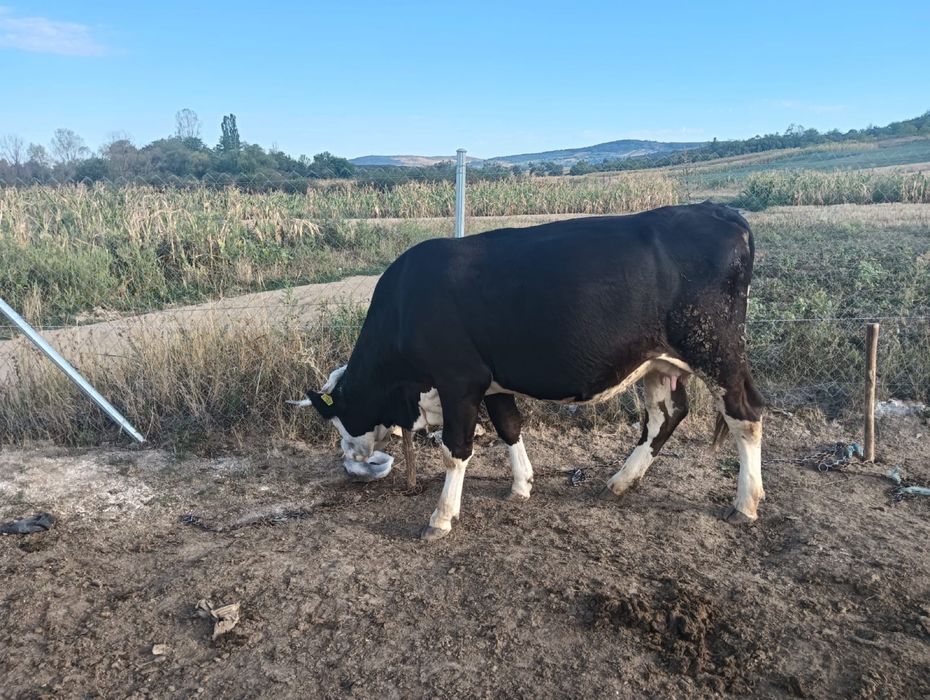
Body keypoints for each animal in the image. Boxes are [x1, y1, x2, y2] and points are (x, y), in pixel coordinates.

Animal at [299, 202, 765, 540]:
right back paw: (620, 481)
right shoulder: (491, 381)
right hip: (658, 362)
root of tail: (720, 211)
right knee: (663, 417)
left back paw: (745, 504)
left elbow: (456, 450)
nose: (351, 458)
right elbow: (509, 426)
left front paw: (442, 517)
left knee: (746, 414)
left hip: (718, 351)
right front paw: (521, 485)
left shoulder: (459, 380)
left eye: (339, 422)